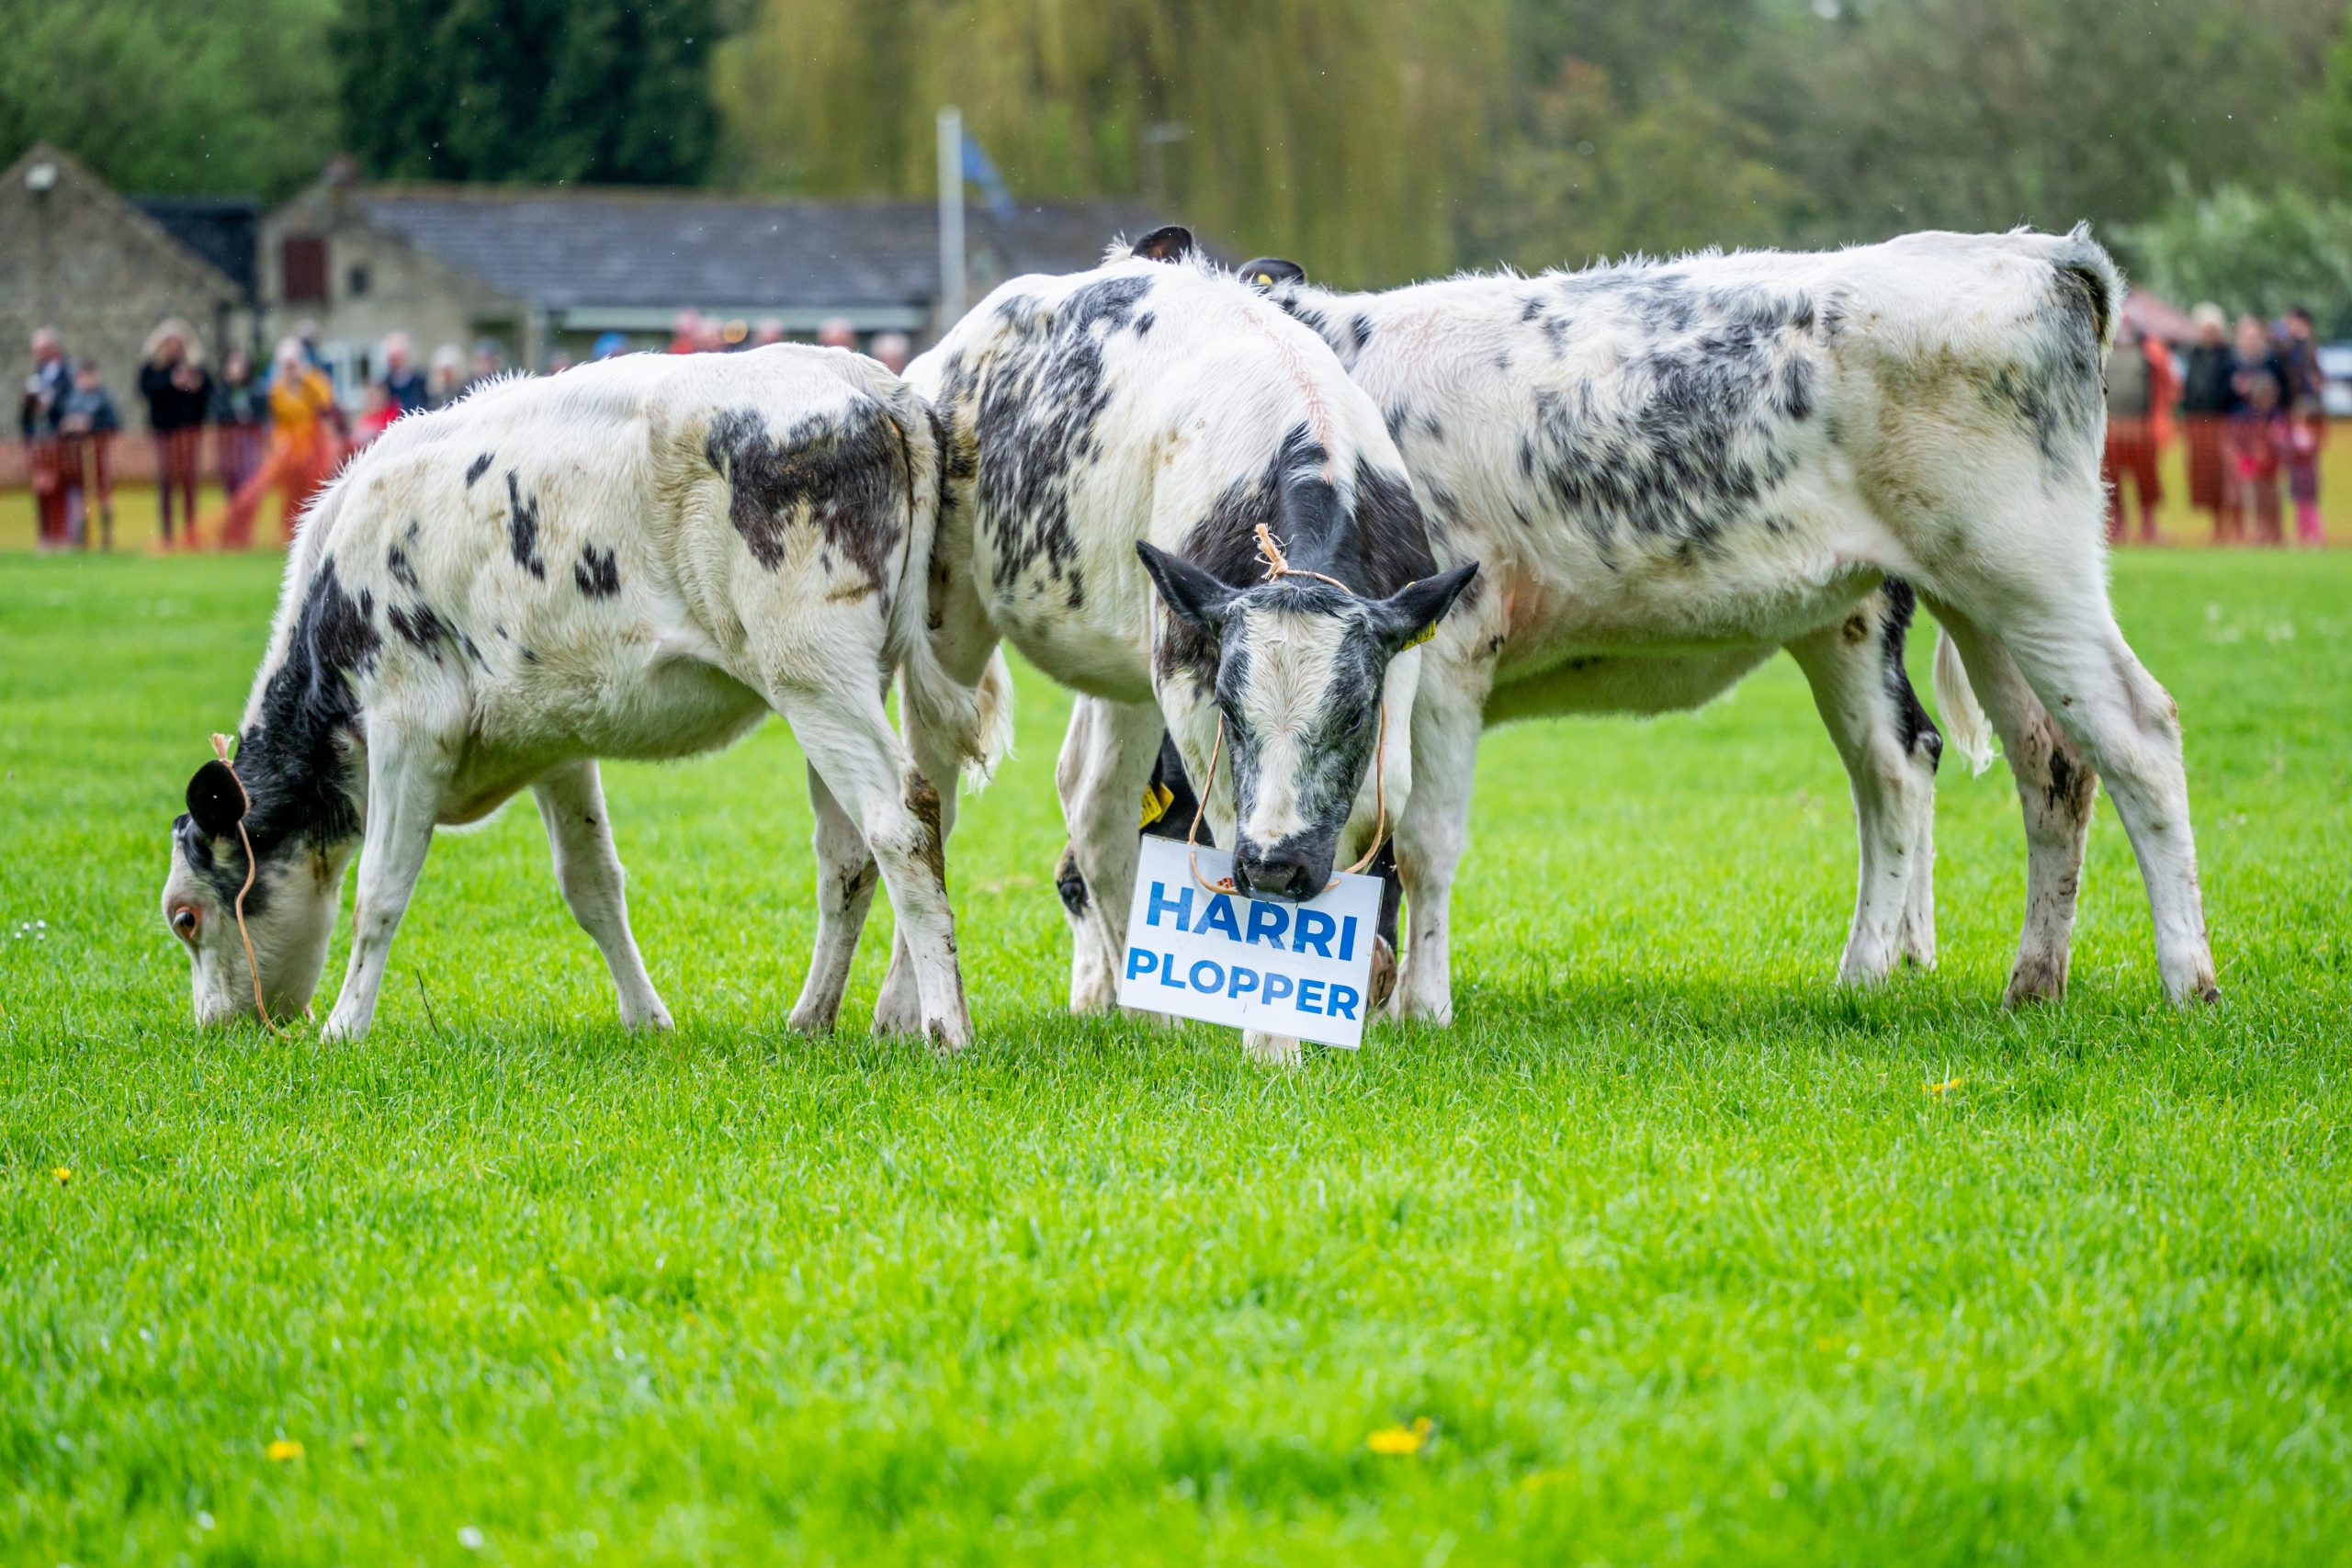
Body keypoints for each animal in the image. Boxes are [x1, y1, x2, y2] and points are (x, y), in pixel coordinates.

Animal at [159, 346, 1009, 1047]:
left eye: (185, 917)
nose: (217, 1025)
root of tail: (871, 383)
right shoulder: (552, 744)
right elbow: (593, 886)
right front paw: (646, 1017)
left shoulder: (409, 722)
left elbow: (380, 889)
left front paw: (343, 1027)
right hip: (840, 687)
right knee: (848, 857)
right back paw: (812, 1016)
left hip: (815, 673)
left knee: (900, 821)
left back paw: (946, 1028)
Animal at [888, 227, 1478, 1064]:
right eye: (1233, 707)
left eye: (1354, 714)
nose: (1278, 863)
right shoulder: (1191, 682)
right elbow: (1230, 828)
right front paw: (1272, 1038)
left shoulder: (1400, 669)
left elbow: (1379, 814)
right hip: (953, 620)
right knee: (928, 799)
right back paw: (907, 1008)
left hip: (1128, 663)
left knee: (1098, 805)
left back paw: (1146, 1010)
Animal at [1068, 227, 2218, 1021]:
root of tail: (2037, 254)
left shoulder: (1446, 652)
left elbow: (1417, 838)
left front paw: (1415, 1007)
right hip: (1936, 608)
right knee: (2010, 766)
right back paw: (2003, 979)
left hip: (2027, 573)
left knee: (2135, 735)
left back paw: (2185, 980)